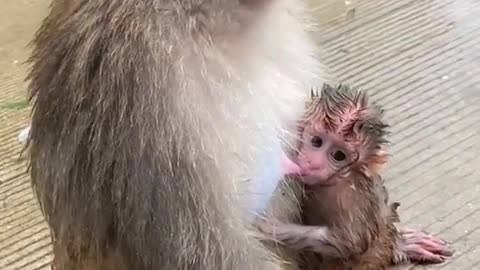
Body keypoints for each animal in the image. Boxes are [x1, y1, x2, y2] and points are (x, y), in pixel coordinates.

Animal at [260, 84, 452, 270]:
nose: (314, 163)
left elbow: (348, 243)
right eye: (316, 142)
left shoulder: (347, 197)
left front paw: (270, 228)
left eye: (339, 155)